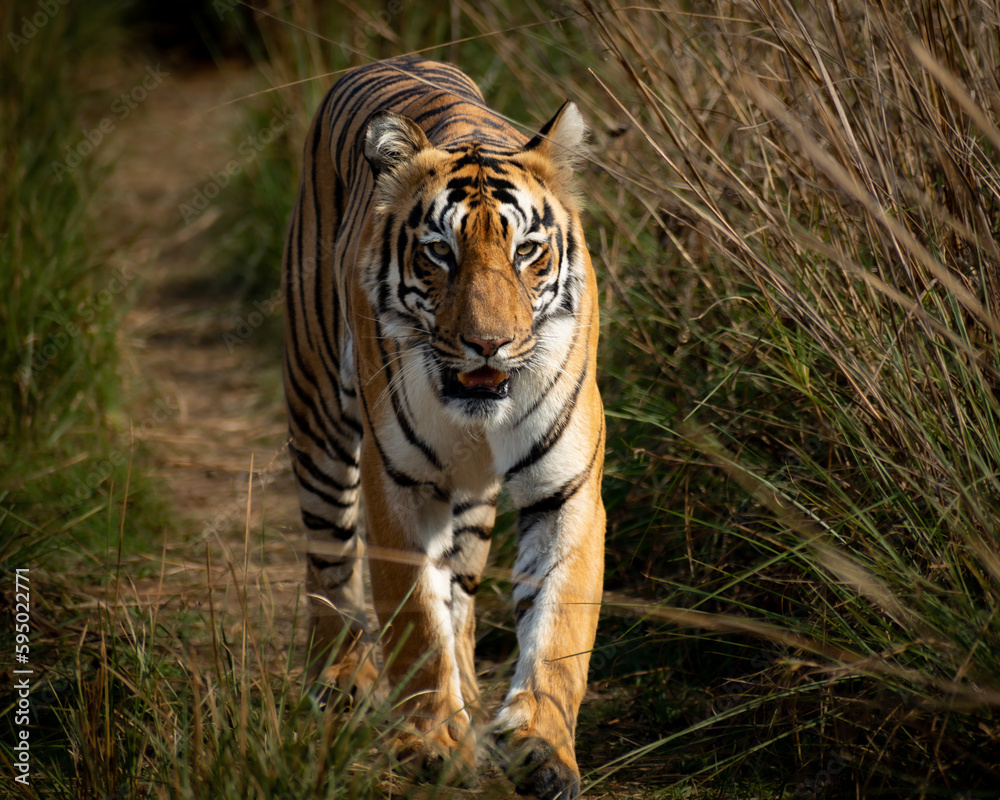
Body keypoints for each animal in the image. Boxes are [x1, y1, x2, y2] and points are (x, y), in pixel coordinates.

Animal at [282, 57, 605, 800]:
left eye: (528, 251)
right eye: (439, 253)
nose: (489, 344)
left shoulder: (566, 489)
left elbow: (557, 627)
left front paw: (543, 749)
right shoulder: (398, 482)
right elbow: (414, 619)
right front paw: (433, 744)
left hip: (473, 502)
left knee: (459, 589)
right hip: (317, 408)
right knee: (330, 556)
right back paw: (341, 676)